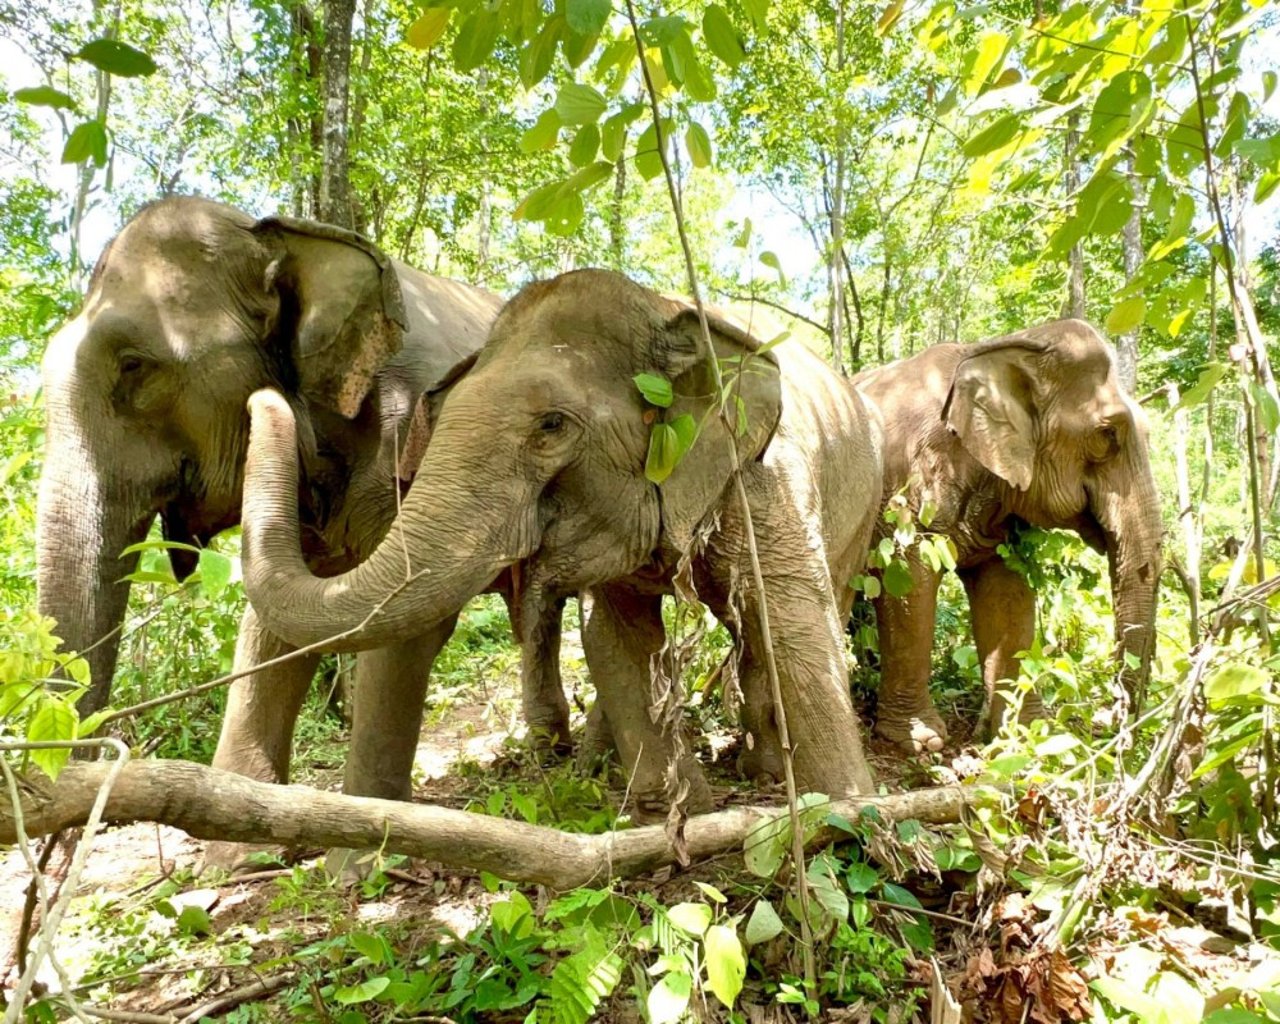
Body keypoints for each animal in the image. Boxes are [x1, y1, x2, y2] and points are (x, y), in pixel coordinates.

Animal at [33, 195, 509, 814]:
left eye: (135, 365)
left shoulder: (415, 437)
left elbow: (407, 617)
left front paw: (368, 832)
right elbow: (272, 622)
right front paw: (235, 826)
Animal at [235, 270, 885, 814]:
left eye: (551, 426)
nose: (265, 396)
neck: (664, 305)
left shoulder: (767, 479)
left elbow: (792, 619)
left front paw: (849, 820)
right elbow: (615, 638)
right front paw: (680, 815)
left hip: (863, 511)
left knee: (808, 609)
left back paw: (768, 771)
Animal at [855, 320, 1167, 752]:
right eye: (1107, 435)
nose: (1105, 722)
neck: (995, 349)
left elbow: (1007, 597)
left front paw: (1027, 734)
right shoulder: (905, 491)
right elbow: (908, 586)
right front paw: (921, 742)